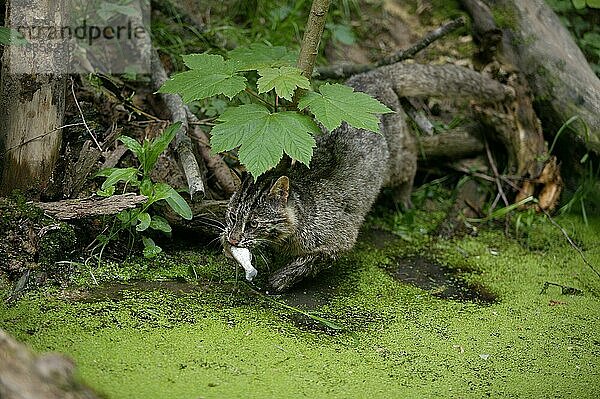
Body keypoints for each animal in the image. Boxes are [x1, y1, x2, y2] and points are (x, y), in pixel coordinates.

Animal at [220, 63, 510, 294]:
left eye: (254, 223)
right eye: (232, 217)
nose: (233, 240)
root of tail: (373, 74)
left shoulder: (340, 239)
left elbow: (309, 261)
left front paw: (281, 278)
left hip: (394, 164)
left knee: (412, 155)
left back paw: (403, 197)